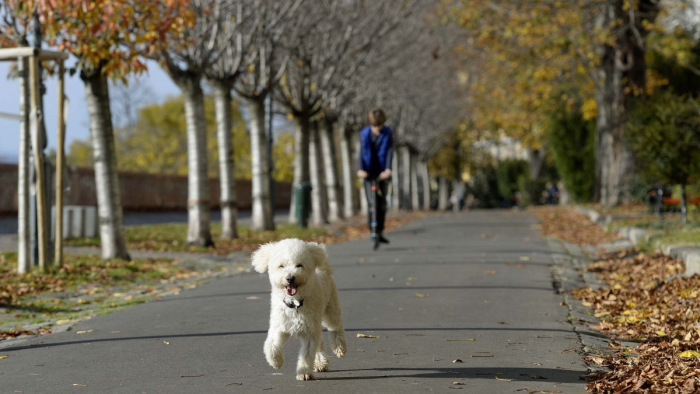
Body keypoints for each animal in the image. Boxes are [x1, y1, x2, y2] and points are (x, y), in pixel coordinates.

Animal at [253, 239, 348, 380]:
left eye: (299, 265)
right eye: (281, 266)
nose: (290, 278)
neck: (295, 303)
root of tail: (322, 268)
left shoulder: (309, 332)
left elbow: (307, 355)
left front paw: (303, 373)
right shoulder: (280, 327)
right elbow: (272, 345)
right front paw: (276, 361)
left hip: (331, 308)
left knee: (336, 327)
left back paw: (339, 347)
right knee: (320, 342)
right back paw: (320, 363)